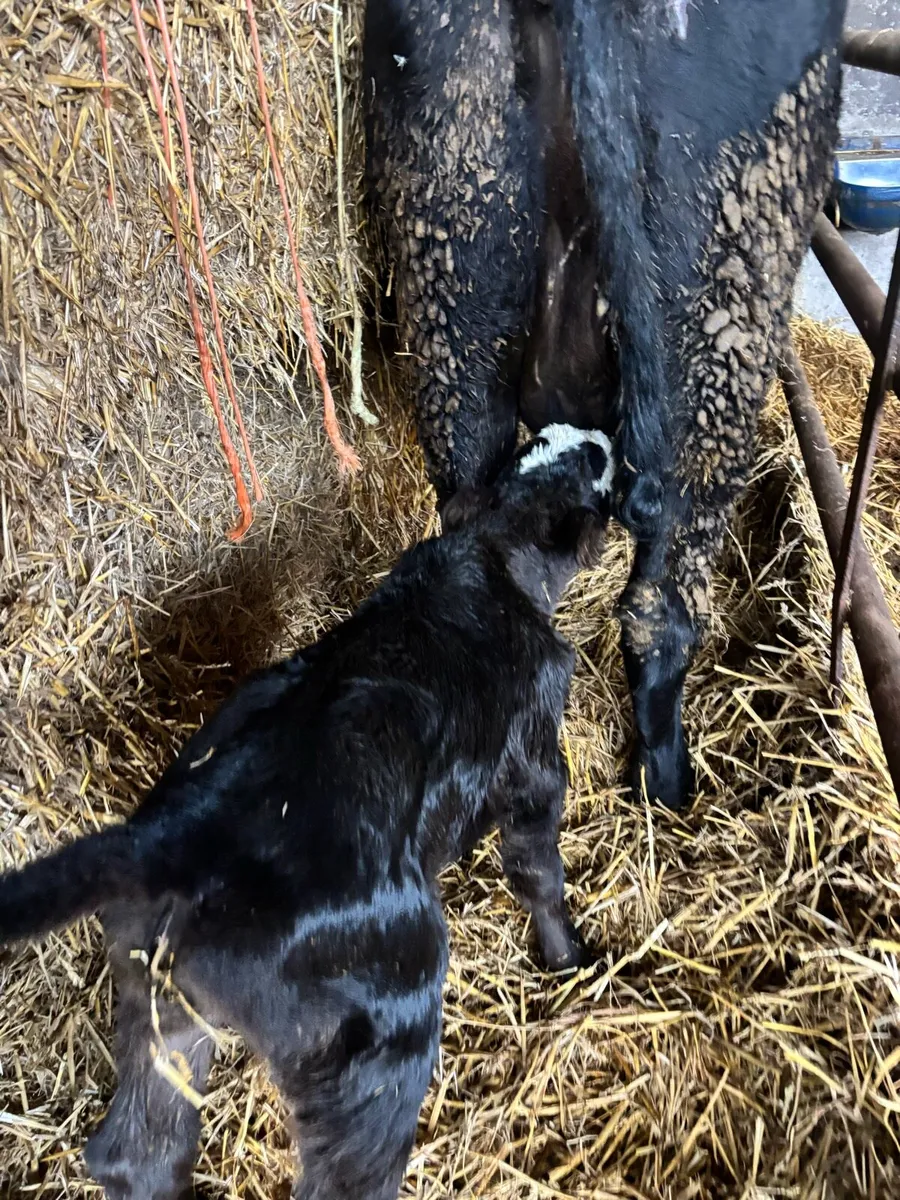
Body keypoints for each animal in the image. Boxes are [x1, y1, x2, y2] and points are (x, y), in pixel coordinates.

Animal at [0, 425, 612, 1200]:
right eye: (592, 466)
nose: (600, 436)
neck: (493, 550)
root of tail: (179, 836)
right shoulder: (534, 759)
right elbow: (538, 872)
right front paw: (569, 961)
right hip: (382, 1034)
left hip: (162, 1006)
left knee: (137, 1152)